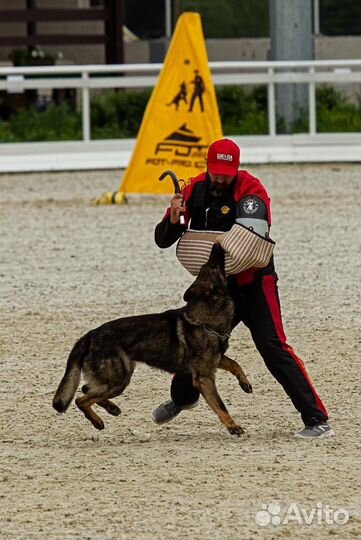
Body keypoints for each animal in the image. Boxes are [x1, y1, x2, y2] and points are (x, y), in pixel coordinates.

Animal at [52, 245, 252, 434]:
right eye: (213, 265)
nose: (217, 245)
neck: (204, 318)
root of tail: (89, 336)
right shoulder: (204, 378)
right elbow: (220, 405)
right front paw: (232, 426)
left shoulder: (216, 360)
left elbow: (235, 364)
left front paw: (245, 383)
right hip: (119, 380)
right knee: (81, 399)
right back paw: (97, 421)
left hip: (115, 379)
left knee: (87, 389)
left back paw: (111, 408)